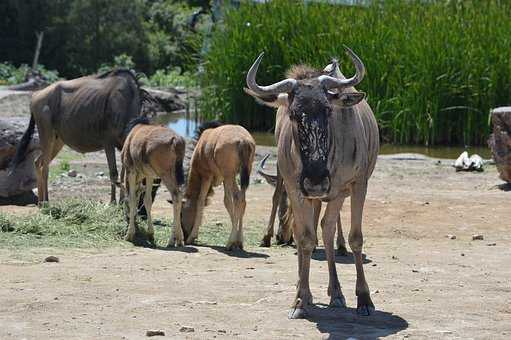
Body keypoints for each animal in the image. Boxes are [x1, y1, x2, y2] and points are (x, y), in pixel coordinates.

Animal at [121, 117, 186, 247]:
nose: (127, 216)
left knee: (176, 195)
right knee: (180, 195)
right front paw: (150, 234)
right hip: (175, 174)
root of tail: (176, 140)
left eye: (124, 202)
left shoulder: (131, 171)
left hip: (166, 174)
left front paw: (129, 234)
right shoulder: (149, 175)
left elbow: (132, 199)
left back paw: (171, 240)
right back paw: (179, 239)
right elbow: (147, 200)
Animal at [179, 121, 256, 250]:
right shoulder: (224, 179)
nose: (185, 236)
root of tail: (243, 141)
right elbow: (228, 201)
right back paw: (239, 241)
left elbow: (200, 200)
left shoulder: (207, 176)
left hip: (229, 174)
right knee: (242, 199)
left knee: (235, 198)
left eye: (180, 214)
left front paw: (192, 237)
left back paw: (230, 242)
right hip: (241, 173)